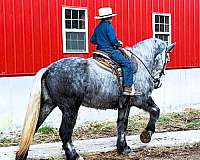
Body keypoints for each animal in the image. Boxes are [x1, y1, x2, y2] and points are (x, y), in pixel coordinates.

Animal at [16, 38, 175, 159]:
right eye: (167, 59)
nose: (158, 82)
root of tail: (48, 69)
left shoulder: (125, 105)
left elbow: (122, 124)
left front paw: (123, 147)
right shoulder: (141, 99)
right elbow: (155, 110)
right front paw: (146, 134)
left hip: (48, 105)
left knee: (33, 128)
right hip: (70, 109)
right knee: (65, 132)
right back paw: (74, 155)